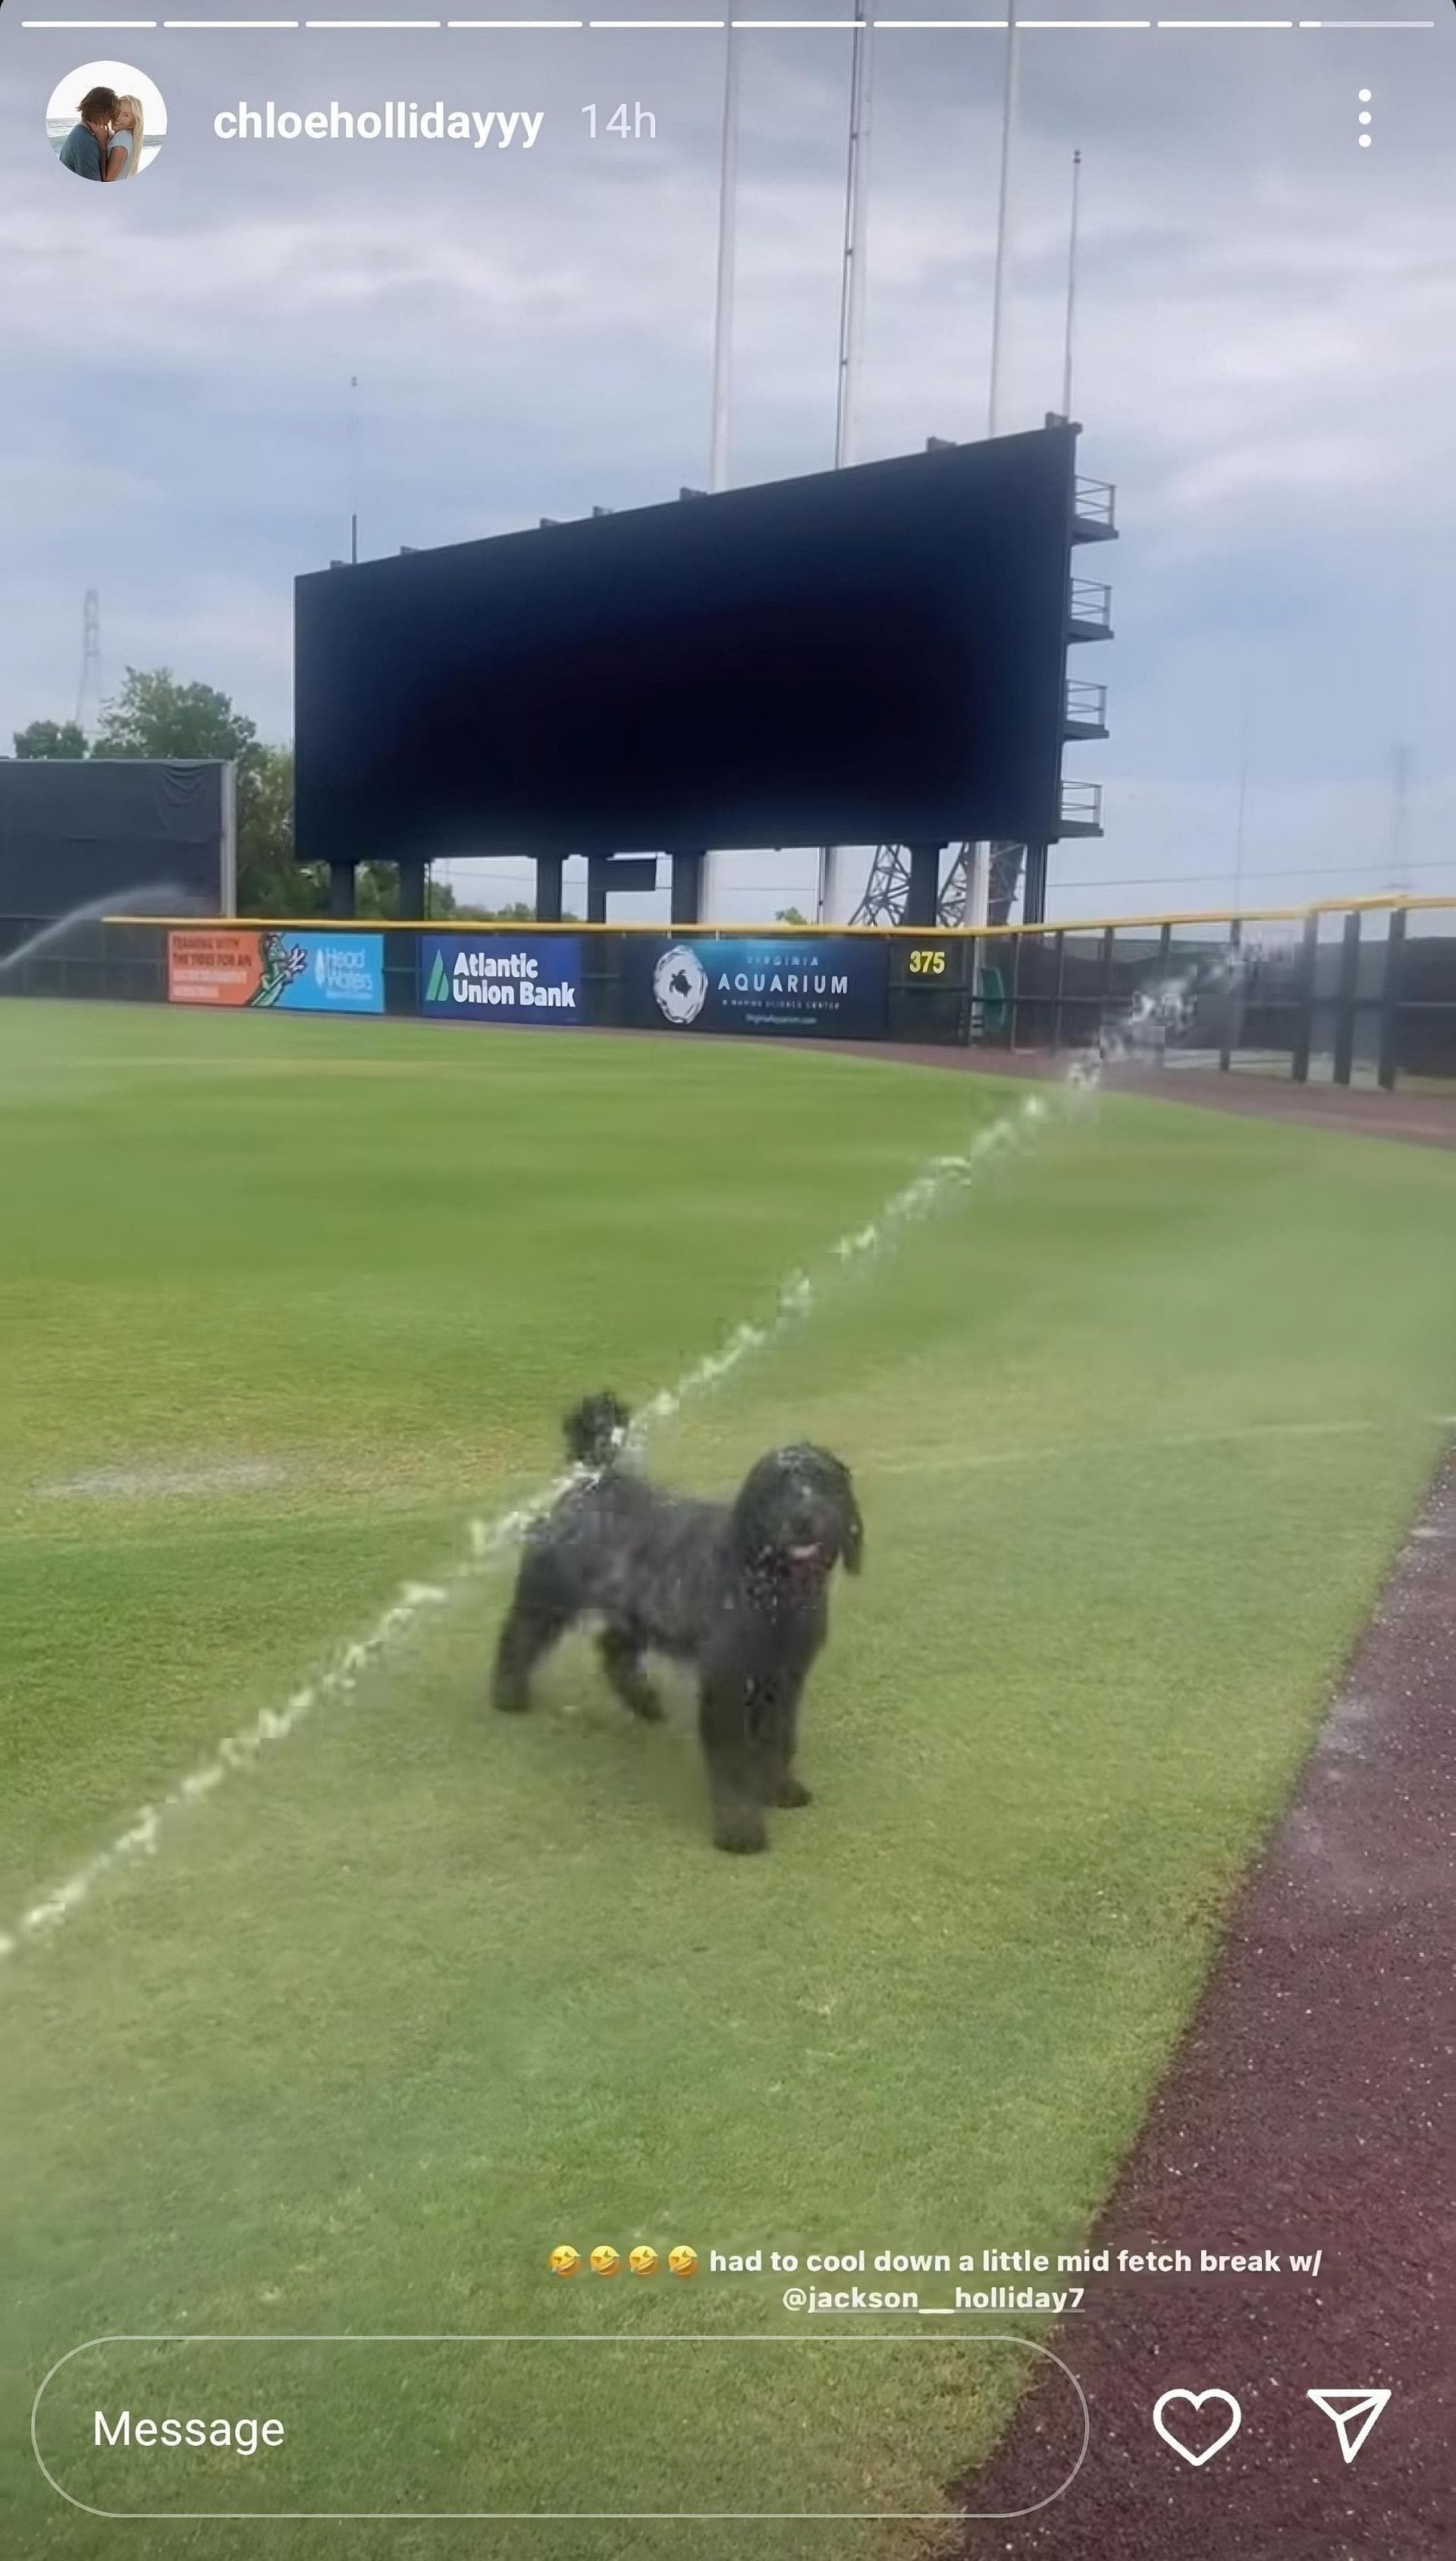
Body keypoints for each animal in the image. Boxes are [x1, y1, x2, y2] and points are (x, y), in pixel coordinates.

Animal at [494, 1393, 864, 1854]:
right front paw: (740, 1827)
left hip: (633, 1613)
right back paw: (508, 1695)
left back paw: (645, 1704)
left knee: (613, 1652)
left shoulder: (782, 1681)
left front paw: (779, 1788)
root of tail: (598, 1479)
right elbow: (734, 1762)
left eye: (821, 1480)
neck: (770, 1587)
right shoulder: (728, 1685)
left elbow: (777, 1741)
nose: (803, 1518)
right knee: (519, 1636)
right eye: (778, 1487)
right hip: (548, 1597)